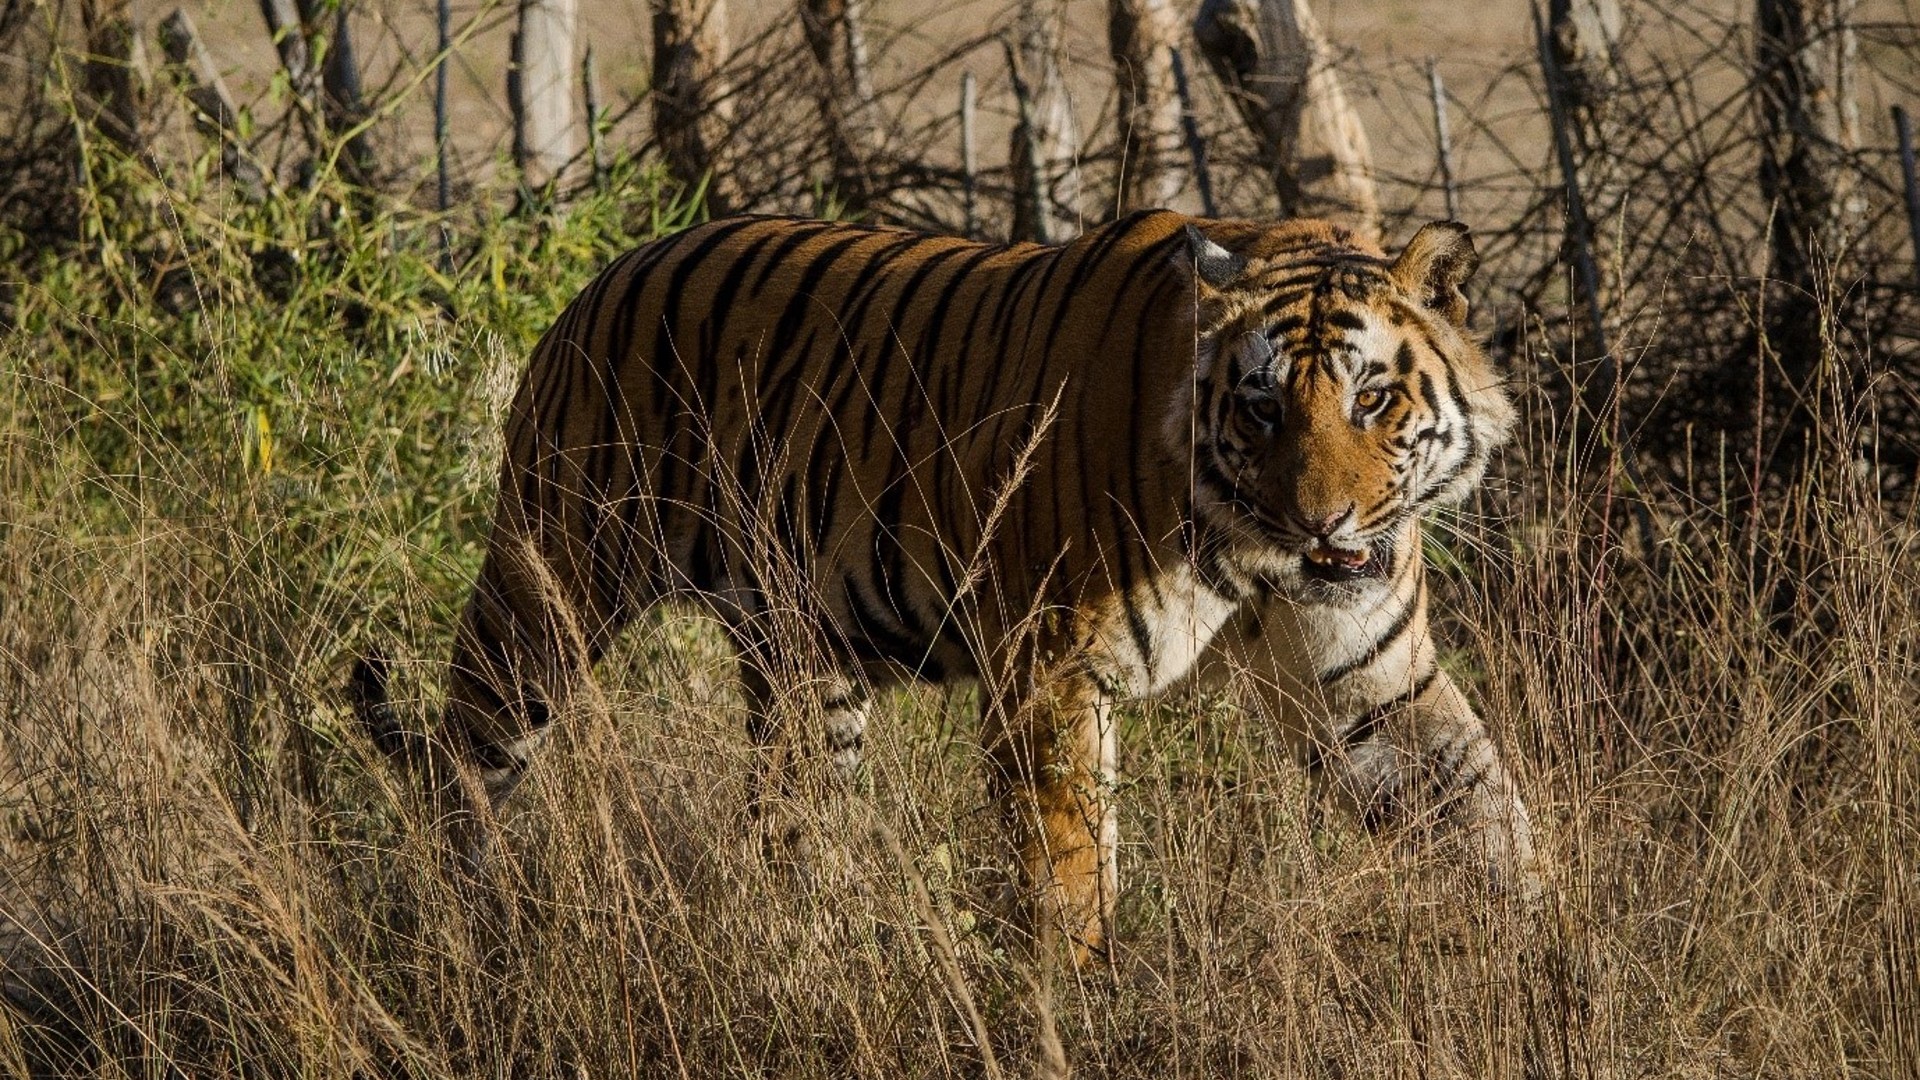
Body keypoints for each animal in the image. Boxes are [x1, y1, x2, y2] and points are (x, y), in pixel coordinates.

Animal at [352, 209, 1540, 963]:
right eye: (1258, 408)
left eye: (1373, 397)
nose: (1319, 522)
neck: (1256, 555)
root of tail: (602, 274)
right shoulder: (1050, 670)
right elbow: (1069, 871)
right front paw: (1072, 1001)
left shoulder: (1373, 683)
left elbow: (1487, 816)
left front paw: (1545, 962)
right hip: (546, 591)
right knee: (464, 765)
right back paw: (460, 930)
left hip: (805, 673)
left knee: (786, 833)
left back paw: (810, 954)